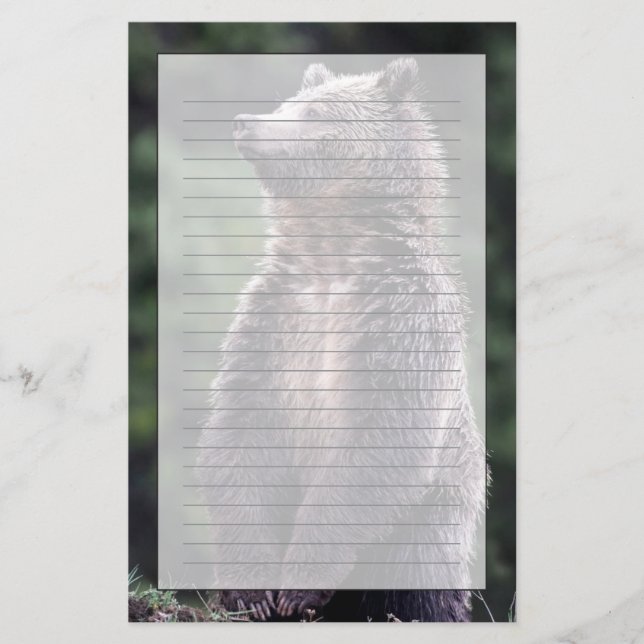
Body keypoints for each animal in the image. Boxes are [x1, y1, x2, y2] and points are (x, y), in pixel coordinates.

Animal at [196, 57, 485, 622]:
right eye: (286, 104)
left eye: (314, 113)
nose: (245, 122)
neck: (332, 253)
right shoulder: (274, 319)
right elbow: (240, 430)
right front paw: (250, 593)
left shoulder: (401, 319)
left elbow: (381, 439)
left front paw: (298, 588)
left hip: (432, 516)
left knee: (423, 584)